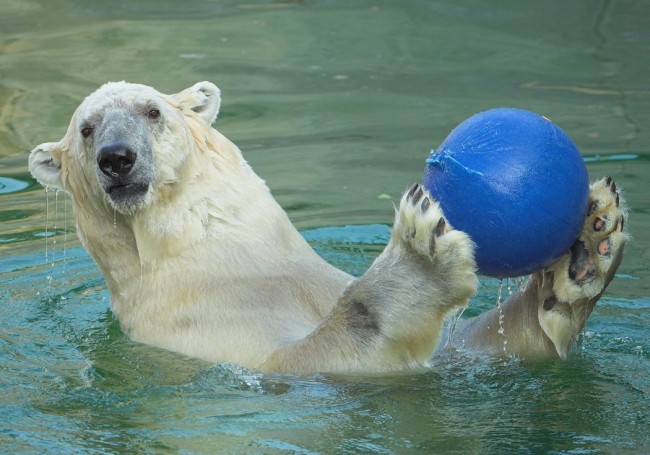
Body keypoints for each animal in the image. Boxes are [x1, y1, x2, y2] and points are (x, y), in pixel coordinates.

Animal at [26, 82, 628, 374]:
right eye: (86, 129)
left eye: (151, 111)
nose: (117, 158)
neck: (228, 262)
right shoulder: (204, 337)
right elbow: (316, 353)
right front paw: (419, 257)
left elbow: (470, 346)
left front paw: (590, 246)